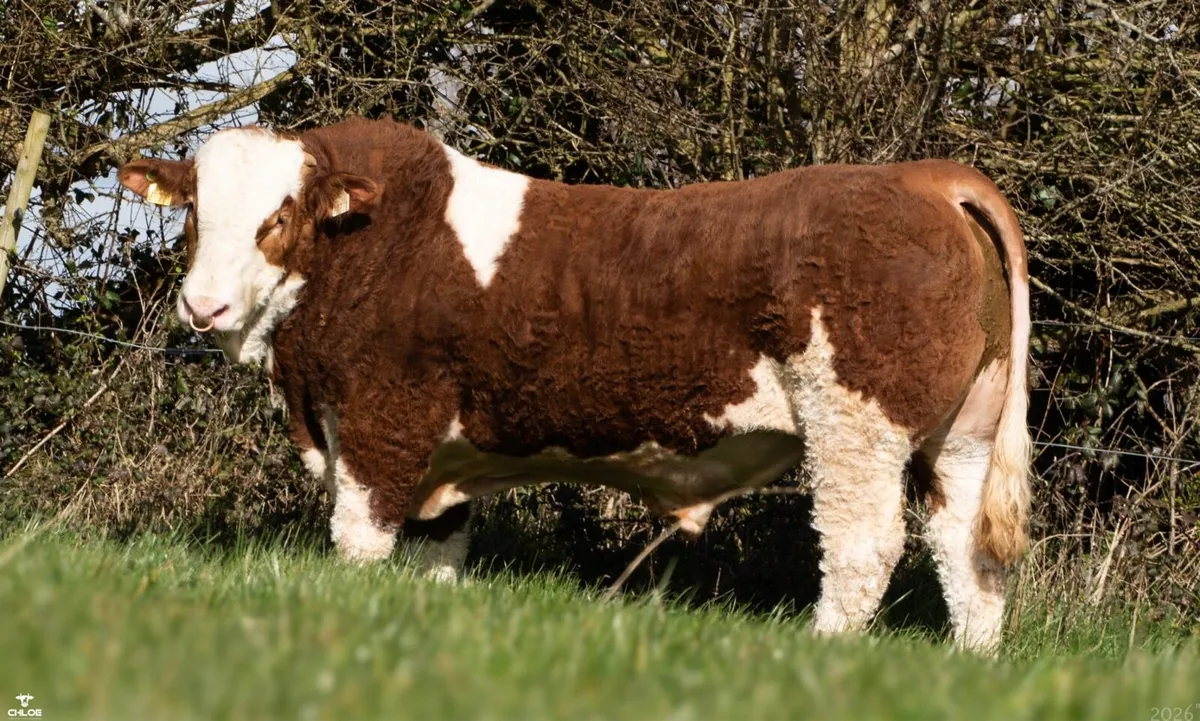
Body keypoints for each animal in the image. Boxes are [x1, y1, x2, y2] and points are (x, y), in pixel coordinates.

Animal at [117, 116, 1031, 652]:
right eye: (192, 211)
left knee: (862, 545)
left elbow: (359, 541)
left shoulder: (384, 423)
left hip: (856, 425)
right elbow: (434, 554)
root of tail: (925, 175)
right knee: (970, 558)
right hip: (963, 437)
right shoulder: (441, 458)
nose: (203, 304)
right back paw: (968, 664)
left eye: (277, 217)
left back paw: (823, 654)